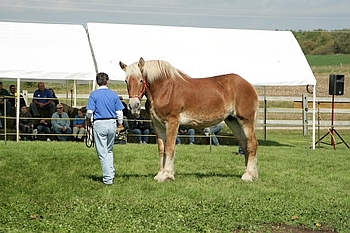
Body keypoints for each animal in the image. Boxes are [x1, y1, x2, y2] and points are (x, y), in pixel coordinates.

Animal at [119, 57, 258, 182]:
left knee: (252, 144)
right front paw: (160, 174)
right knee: (244, 145)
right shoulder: (158, 125)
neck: (164, 89)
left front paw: (166, 175)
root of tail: (249, 86)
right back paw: (250, 173)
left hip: (246, 121)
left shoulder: (172, 122)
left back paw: (248, 176)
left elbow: (169, 148)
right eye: (126, 81)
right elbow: (161, 149)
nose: (134, 105)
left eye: (141, 80)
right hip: (233, 122)